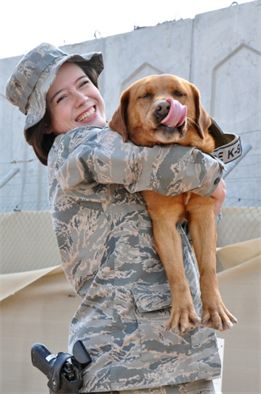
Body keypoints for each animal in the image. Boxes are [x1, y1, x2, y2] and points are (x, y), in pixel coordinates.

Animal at [108, 74, 237, 332]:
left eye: (179, 93)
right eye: (145, 95)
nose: (164, 107)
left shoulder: (203, 215)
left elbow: (208, 268)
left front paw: (215, 310)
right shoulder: (164, 223)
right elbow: (177, 272)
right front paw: (183, 313)